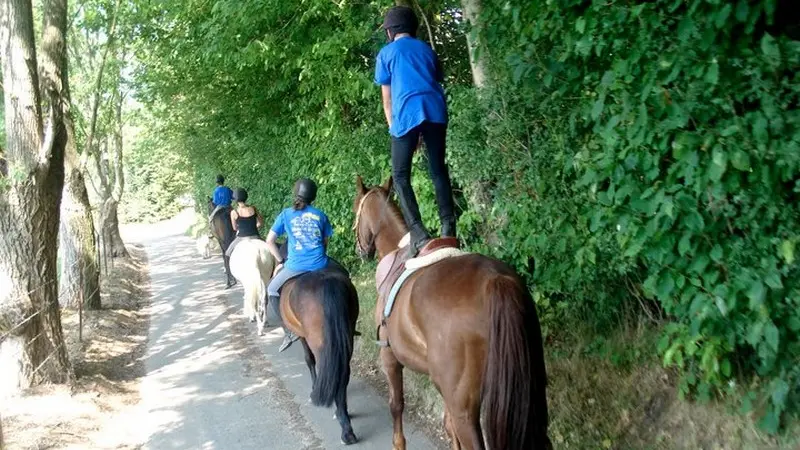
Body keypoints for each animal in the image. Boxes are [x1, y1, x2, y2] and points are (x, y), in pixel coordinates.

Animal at [278, 266, 360, 444]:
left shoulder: (302, 335)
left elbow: (309, 360)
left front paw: (313, 389)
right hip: (346, 337)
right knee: (342, 372)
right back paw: (344, 420)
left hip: (317, 341)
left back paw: (345, 429)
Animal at [354, 176, 552, 450]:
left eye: (356, 209)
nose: (359, 250)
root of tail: (496, 281)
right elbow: (448, 427)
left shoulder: (389, 356)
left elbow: (396, 405)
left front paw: (398, 442)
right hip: (530, 391)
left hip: (465, 407)